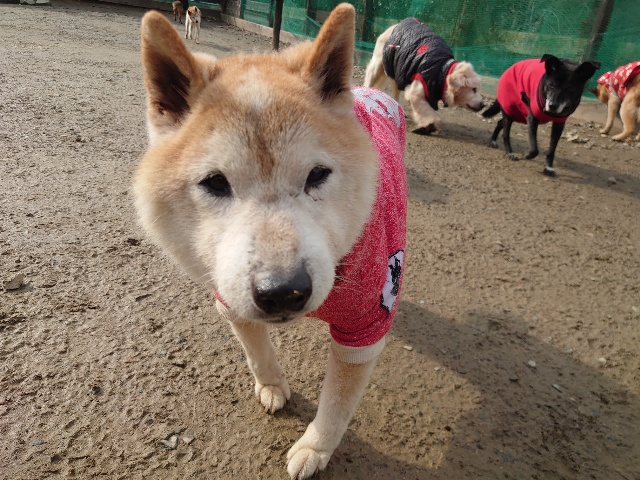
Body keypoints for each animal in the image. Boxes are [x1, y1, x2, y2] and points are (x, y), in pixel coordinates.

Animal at [136, 4, 407, 479]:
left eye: (317, 175)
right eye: (215, 182)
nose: (283, 292)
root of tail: (372, 94)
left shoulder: (365, 325)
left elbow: (337, 405)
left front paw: (315, 448)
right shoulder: (229, 295)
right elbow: (256, 349)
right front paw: (273, 385)